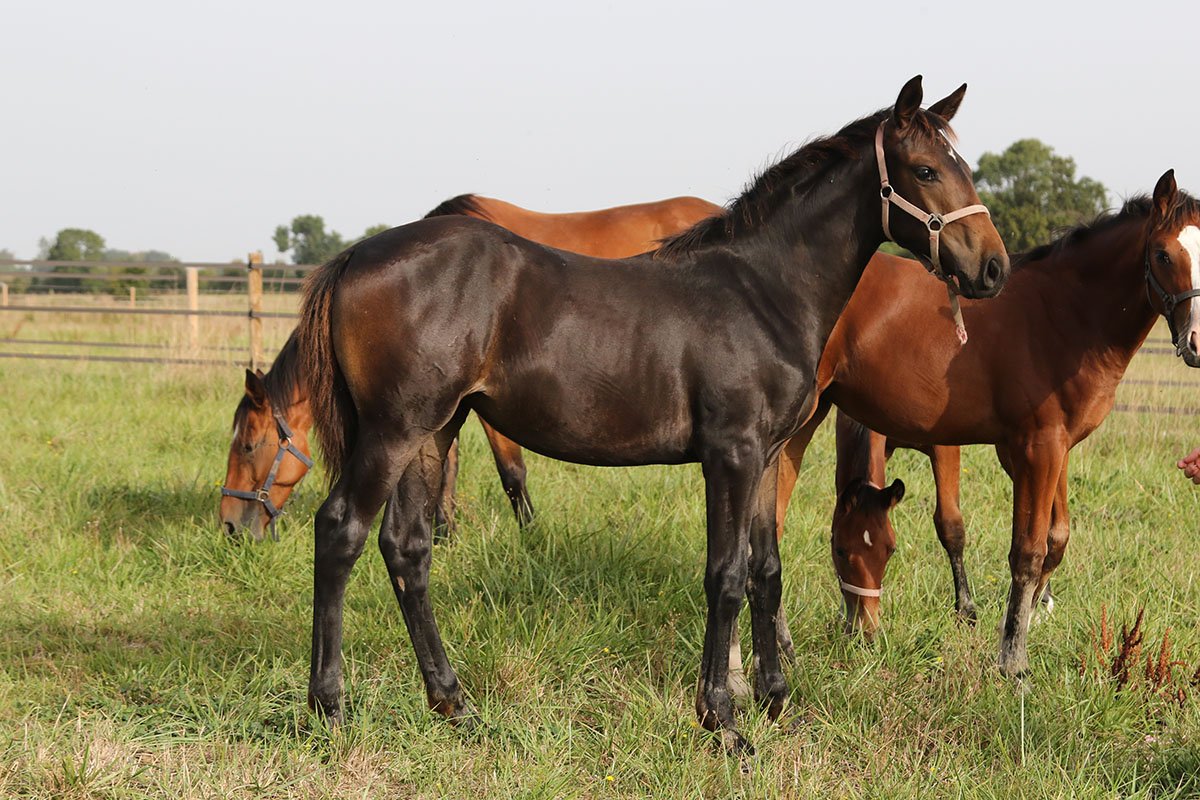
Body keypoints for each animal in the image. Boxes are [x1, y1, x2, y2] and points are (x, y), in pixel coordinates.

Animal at [219, 194, 715, 542]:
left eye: (248, 445)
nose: (229, 526)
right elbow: (448, 464)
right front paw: (445, 532)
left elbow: (511, 472)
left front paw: (529, 535)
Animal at [295, 74, 1008, 753]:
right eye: (925, 170)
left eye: (963, 164)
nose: (993, 268)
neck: (761, 291)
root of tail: (355, 256)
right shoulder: (730, 454)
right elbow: (726, 576)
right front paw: (722, 721)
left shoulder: (767, 454)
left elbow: (767, 571)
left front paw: (777, 702)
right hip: (393, 431)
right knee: (340, 531)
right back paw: (329, 709)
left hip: (433, 432)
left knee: (407, 549)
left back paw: (454, 705)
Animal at [772, 172, 1195, 681]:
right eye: (1163, 254)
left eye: (889, 550)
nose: (1196, 341)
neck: (1060, 315)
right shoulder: (1036, 448)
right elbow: (1026, 551)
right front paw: (1012, 659)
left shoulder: (1050, 448)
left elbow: (1052, 540)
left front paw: (1021, 621)